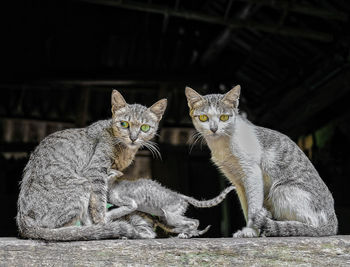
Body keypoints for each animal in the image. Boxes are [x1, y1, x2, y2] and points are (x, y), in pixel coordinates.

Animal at [17, 90, 167, 243]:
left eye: (144, 127)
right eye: (124, 124)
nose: (133, 138)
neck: (124, 151)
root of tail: (24, 224)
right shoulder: (95, 172)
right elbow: (99, 203)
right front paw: (102, 221)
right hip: (82, 185)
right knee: (64, 230)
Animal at [185, 86, 338, 239]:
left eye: (224, 117)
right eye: (204, 118)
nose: (214, 129)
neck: (223, 144)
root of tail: (333, 221)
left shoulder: (252, 173)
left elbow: (254, 207)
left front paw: (251, 231)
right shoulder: (238, 183)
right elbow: (246, 207)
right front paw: (252, 231)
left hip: (280, 190)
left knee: (310, 225)